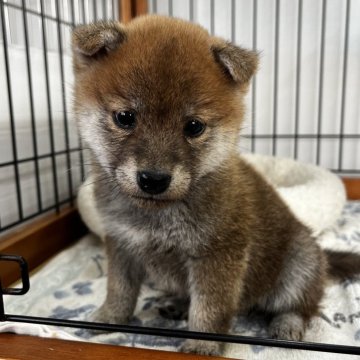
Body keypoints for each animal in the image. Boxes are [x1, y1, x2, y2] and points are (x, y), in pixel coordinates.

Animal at [72, 16, 360, 354]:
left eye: (194, 126)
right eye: (125, 117)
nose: (154, 179)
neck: (157, 216)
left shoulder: (217, 255)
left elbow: (210, 307)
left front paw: (202, 345)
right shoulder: (121, 244)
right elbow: (119, 291)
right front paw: (107, 319)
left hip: (299, 264)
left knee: (302, 306)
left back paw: (286, 325)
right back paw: (177, 304)